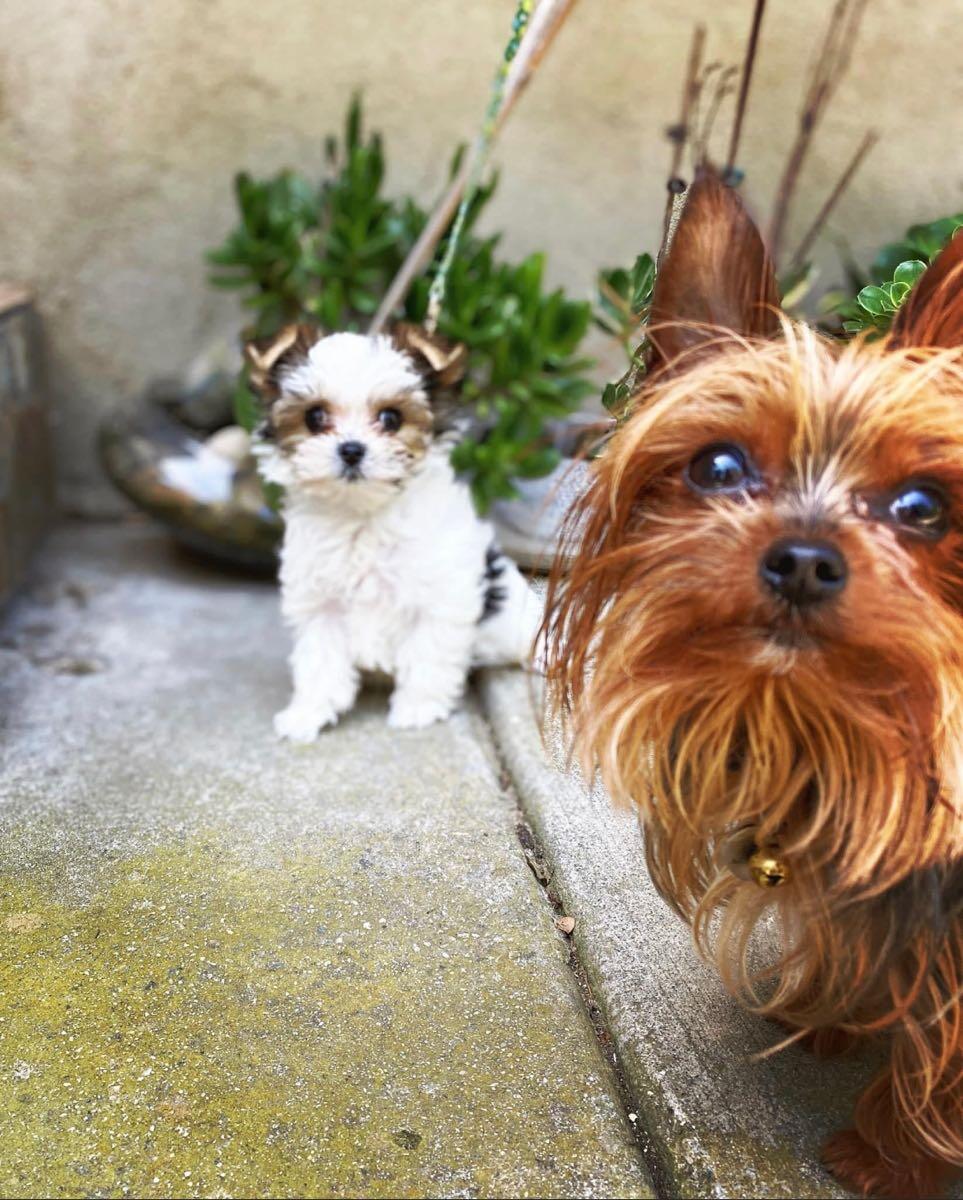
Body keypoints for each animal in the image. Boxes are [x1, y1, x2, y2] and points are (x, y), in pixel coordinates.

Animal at [247, 324, 540, 744]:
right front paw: (308, 712)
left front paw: (419, 705)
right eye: (314, 417)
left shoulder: (440, 597)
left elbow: (428, 651)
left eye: (391, 418)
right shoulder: (321, 604)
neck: (363, 515)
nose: (351, 449)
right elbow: (319, 659)